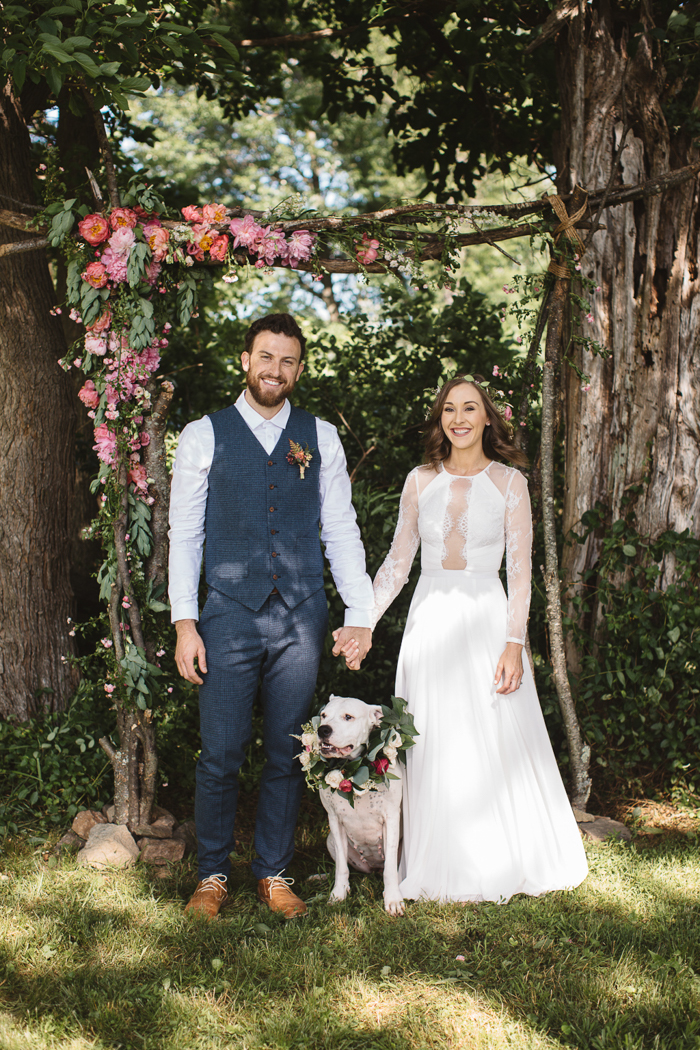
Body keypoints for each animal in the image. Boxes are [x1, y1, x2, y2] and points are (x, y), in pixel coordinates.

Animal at [316, 697, 405, 919]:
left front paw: (393, 899)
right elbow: (341, 866)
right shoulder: (334, 820)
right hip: (330, 840)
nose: (323, 730)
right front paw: (338, 894)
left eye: (348, 717)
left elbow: (390, 868)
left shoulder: (391, 818)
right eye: (323, 715)